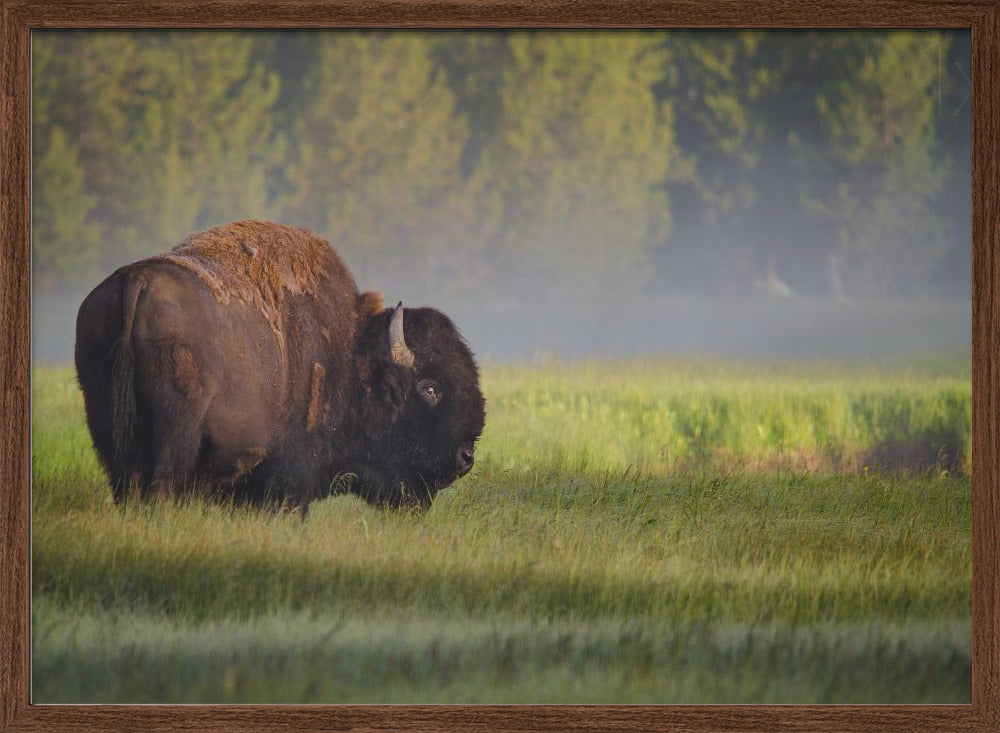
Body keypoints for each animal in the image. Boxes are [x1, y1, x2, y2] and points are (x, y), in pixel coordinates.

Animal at [74, 220, 485, 511]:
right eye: (429, 387)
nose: (465, 458)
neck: (350, 352)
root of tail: (137, 281)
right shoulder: (291, 473)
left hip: (106, 423)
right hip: (175, 431)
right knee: (160, 486)